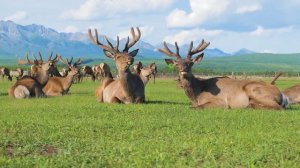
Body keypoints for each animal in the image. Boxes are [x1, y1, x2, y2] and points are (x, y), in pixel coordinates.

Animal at [158, 40, 288, 109]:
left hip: (253, 89)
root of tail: (282, 95)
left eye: (191, 63)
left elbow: (195, 107)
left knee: (278, 107)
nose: (183, 69)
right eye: (177, 64)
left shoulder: (219, 101)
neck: (197, 95)